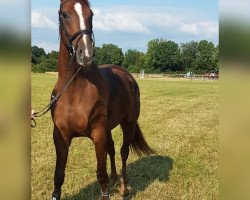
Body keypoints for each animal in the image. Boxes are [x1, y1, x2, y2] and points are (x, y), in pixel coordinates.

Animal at [51, 0, 154, 199]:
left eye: (90, 15)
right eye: (65, 14)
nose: (86, 54)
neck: (74, 91)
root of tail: (128, 77)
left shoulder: (97, 134)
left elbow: (101, 175)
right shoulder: (60, 136)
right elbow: (58, 176)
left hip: (128, 123)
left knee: (123, 152)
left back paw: (123, 187)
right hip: (108, 128)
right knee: (112, 150)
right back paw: (115, 179)